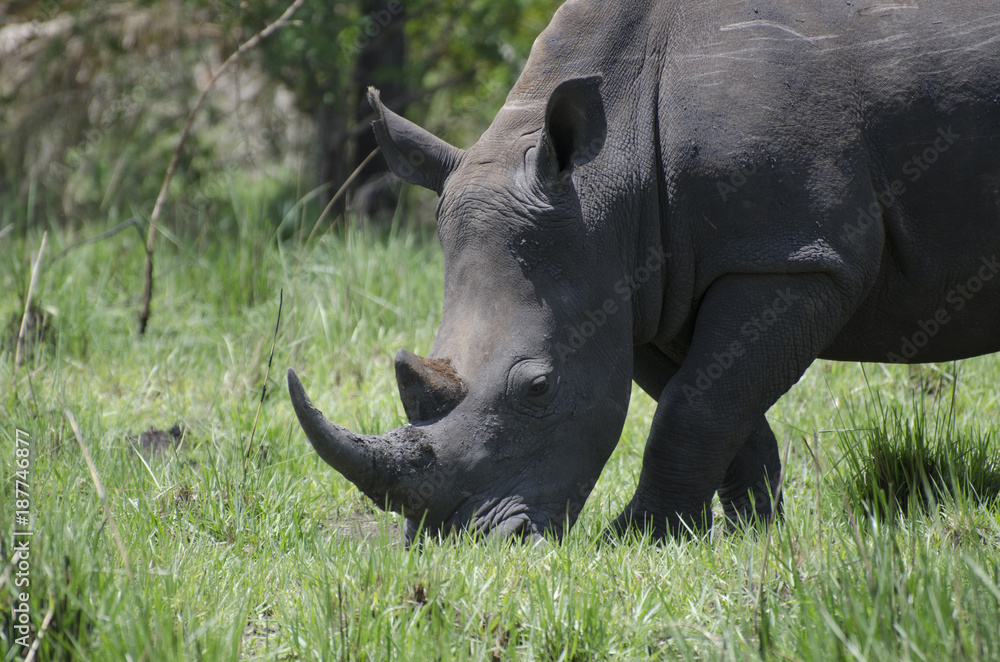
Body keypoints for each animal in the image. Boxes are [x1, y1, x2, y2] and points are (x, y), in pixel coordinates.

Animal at [288, 0, 1000, 542]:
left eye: (539, 387)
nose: (463, 543)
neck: (606, 181)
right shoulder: (636, 286)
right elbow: (715, 400)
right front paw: (749, 535)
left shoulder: (796, 258)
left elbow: (695, 405)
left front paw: (637, 539)